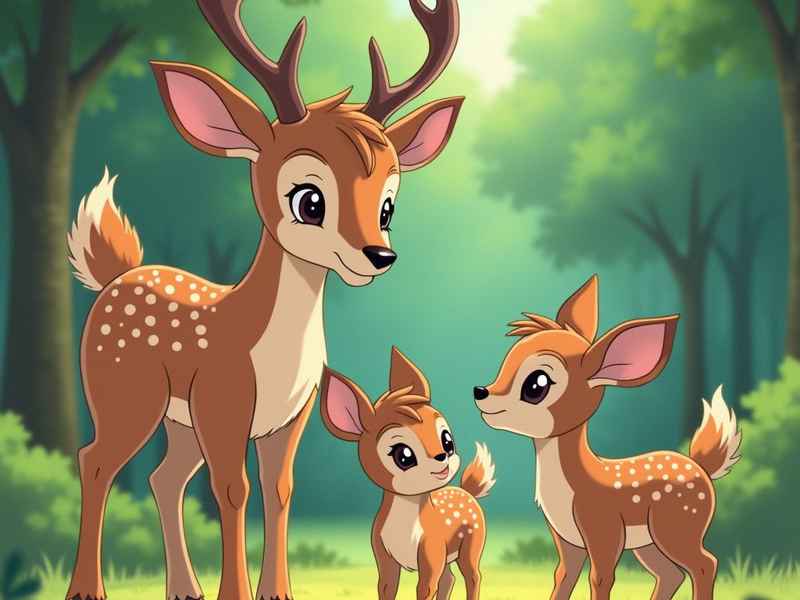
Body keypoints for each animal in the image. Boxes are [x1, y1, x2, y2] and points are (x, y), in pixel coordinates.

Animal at [63, 1, 463, 599]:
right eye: (309, 200)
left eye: (388, 205)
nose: (379, 255)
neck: (271, 353)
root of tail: (118, 275)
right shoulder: (223, 400)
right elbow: (234, 489)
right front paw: (236, 592)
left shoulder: (290, 415)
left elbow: (279, 491)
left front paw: (277, 591)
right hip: (124, 393)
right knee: (94, 462)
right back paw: (87, 588)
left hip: (178, 420)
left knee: (163, 476)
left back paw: (185, 587)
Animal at [321, 347, 496, 600]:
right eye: (403, 456)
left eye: (447, 441)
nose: (442, 456)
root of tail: (467, 492)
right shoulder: (384, 558)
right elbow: (386, 587)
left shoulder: (431, 554)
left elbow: (425, 589)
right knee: (449, 578)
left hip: (471, 544)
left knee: (473, 576)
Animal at [473, 275, 742, 600]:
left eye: (536, 385)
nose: (481, 392)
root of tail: (702, 468)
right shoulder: (565, 538)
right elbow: (563, 575)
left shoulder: (603, 528)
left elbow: (601, 577)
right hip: (648, 542)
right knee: (671, 574)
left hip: (677, 525)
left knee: (705, 564)